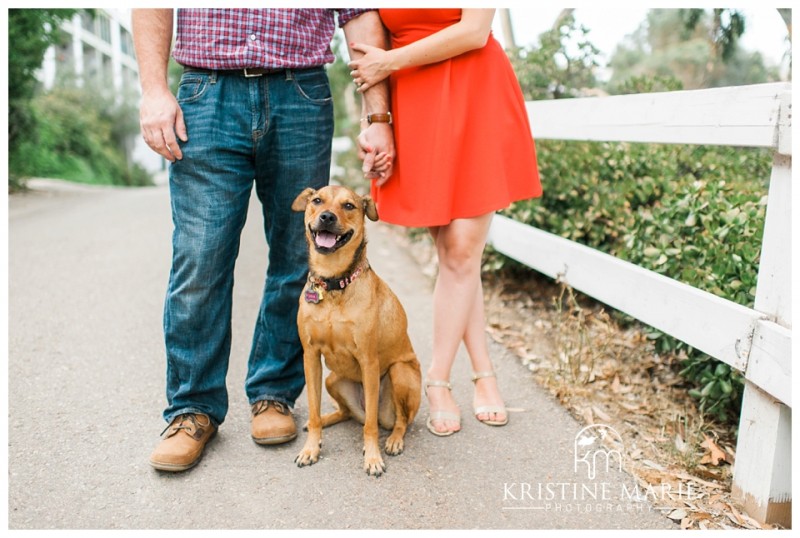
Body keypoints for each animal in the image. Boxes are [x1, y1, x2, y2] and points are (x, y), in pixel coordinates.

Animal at [290, 184, 422, 474]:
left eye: (349, 205)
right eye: (317, 201)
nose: (327, 217)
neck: (333, 283)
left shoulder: (369, 361)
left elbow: (370, 426)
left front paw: (372, 458)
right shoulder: (310, 356)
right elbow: (313, 411)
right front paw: (310, 448)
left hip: (400, 372)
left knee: (399, 420)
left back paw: (394, 440)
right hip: (332, 379)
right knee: (347, 412)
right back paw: (329, 418)